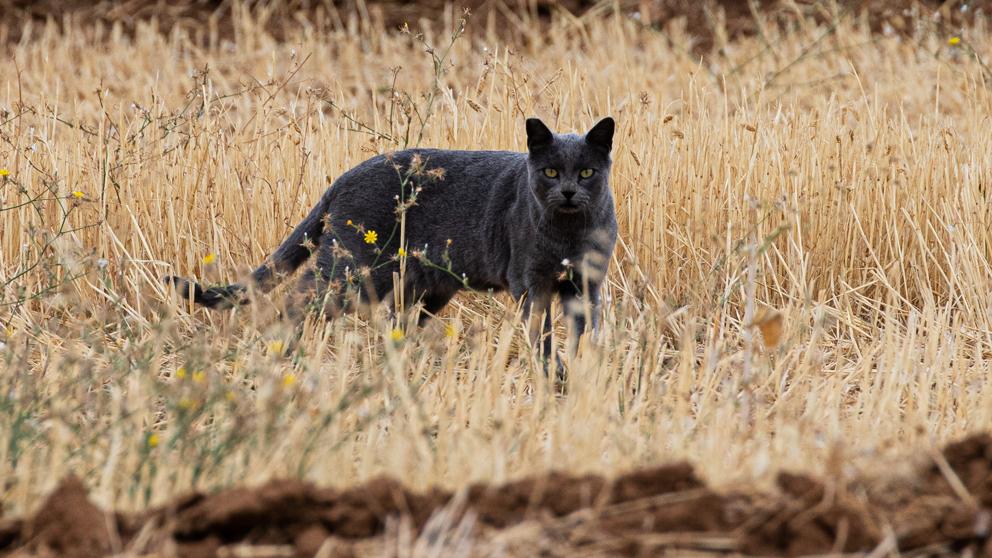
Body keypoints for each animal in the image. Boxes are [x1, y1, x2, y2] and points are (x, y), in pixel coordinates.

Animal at [171, 116, 620, 374]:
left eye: (586, 172)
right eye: (550, 172)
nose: (567, 192)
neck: (568, 233)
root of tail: (345, 176)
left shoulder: (587, 284)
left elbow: (587, 329)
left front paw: (587, 371)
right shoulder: (531, 282)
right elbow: (541, 333)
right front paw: (555, 375)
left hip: (422, 287)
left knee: (392, 320)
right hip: (351, 270)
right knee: (297, 301)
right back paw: (284, 354)